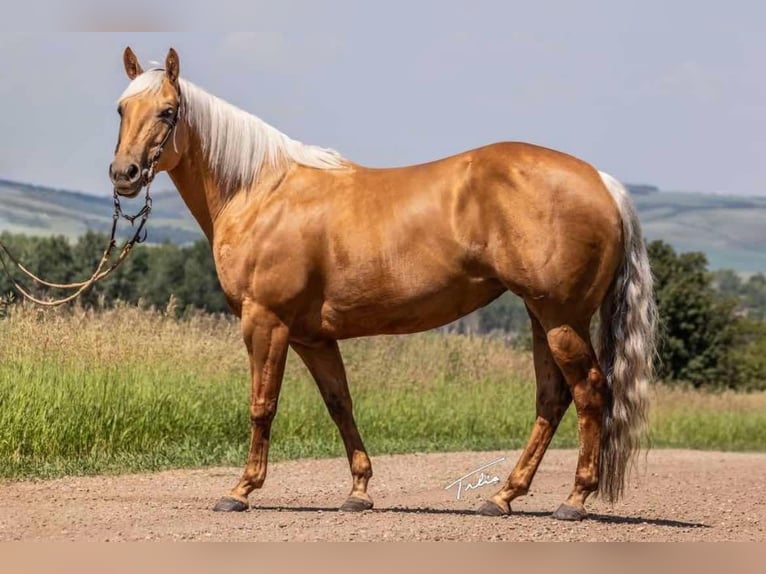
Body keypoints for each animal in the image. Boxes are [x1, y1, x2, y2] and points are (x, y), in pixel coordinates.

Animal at [111, 47, 656, 520]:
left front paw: (242, 490)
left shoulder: (266, 321)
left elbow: (262, 405)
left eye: (167, 112)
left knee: (589, 392)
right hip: (542, 317)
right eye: (121, 108)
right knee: (552, 399)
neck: (261, 190)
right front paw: (358, 490)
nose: (124, 174)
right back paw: (503, 496)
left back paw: (574, 499)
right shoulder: (312, 336)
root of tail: (604, 183)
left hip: (561, 317)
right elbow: (340, 404)